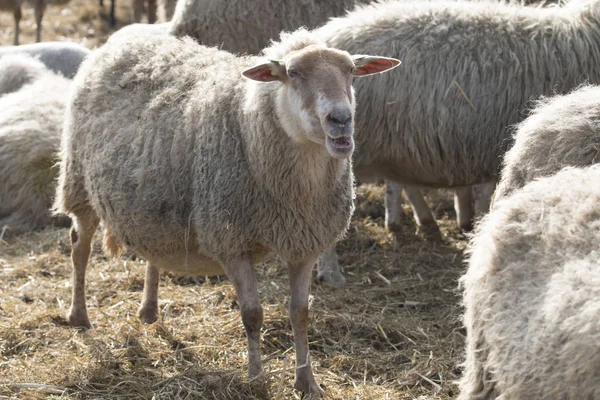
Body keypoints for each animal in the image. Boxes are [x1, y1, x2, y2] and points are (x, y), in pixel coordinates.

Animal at [52, 28, 398, 396]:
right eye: (293, 73)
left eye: (351, 71)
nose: (341, 120)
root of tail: (122, 37)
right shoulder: (232, 243)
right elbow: (253, 315)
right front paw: (256, 379)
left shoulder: (303, 243)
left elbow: (300, 313)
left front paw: (307, 382)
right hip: (78, 182)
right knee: (79, 247)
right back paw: (79, 317)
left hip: (152, 202)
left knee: (150, 253)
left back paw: (148, 312)